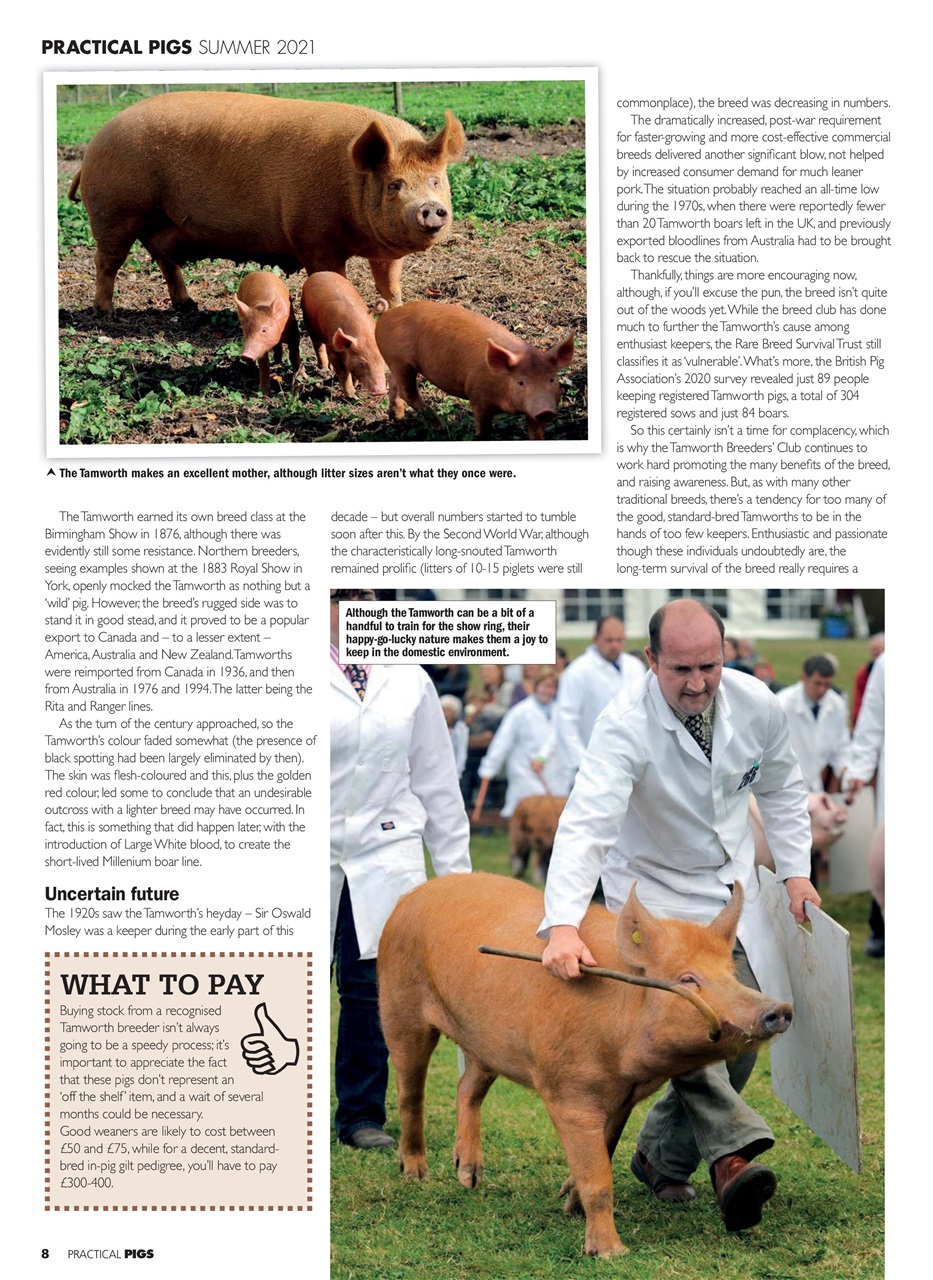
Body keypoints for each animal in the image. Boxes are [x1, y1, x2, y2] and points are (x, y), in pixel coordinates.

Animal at [68, 91, 465, 315]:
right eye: (395, 185)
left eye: (435, 181)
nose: (430, 207)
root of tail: (94, 143)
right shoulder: (314, 237)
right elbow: (332, 278)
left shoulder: (384, 250)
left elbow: (390, 281)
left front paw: (394, 308)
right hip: (115, 211)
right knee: (107, 261)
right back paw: (104, 313)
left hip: (158, 221)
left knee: (164, 259)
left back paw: (188, 305)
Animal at [374, 301, 575, 440]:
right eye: (521, 382)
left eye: (552, 380)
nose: (545, 411)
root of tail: (386, 314)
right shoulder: (477, 396)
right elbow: (483, 427)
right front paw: (479, 437)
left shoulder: (532, 411)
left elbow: (536, 433)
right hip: (399, 360)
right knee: (408, 392)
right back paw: (440, 428)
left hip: (396, 362)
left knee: (394, 383)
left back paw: (398, 419)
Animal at [378, 873, 792, 1259]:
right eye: (688, 979)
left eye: (732, 974)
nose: (779, 1009)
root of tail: (412, 895)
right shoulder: (569, 1092)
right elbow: (598, 1176)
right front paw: (610, 1252)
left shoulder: (623, 1098)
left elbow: (604, 1150)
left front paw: (570, 1206)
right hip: (399, 1005)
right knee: (410, 1091)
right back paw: (415, 1175)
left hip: (484, 1038)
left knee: (467, 1086)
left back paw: (469, 1178)